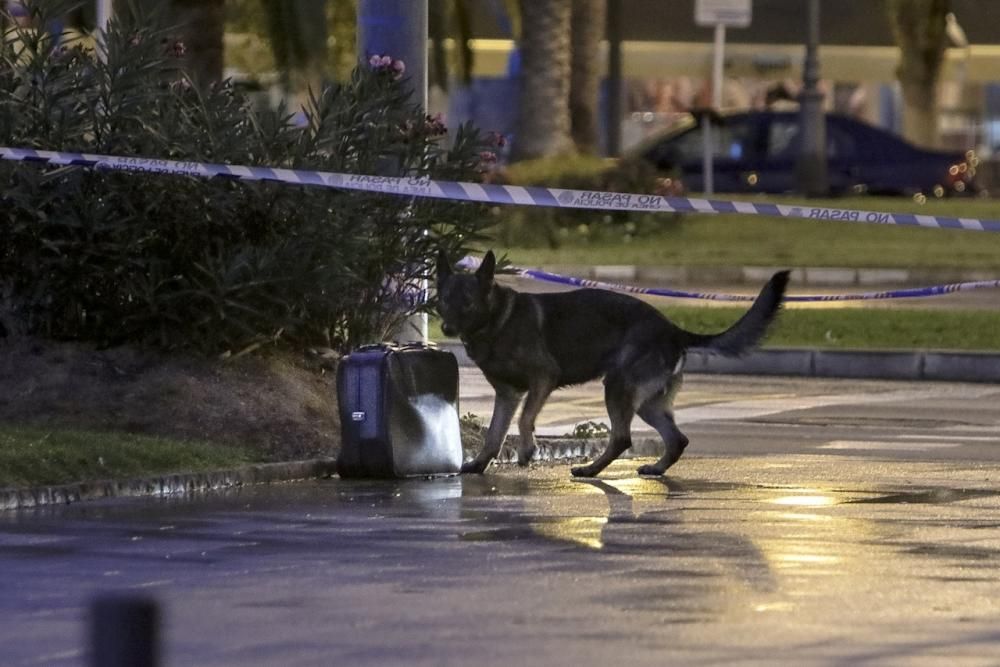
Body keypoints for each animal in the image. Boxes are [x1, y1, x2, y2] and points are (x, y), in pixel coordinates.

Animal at [438, 252, 788, 480]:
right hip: (646, 402)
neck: (496, 318)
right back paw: (654, 468)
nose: (445, 329)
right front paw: (479, 465)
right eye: (443, 301)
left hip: (617, 387)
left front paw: (526, 451)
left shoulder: (543, 379)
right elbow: (494, 435)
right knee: (676, 439)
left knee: (622, 438)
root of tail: (674, 330)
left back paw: (592, 469)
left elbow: (525, 420)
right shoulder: (508, 395)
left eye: (467, 302)